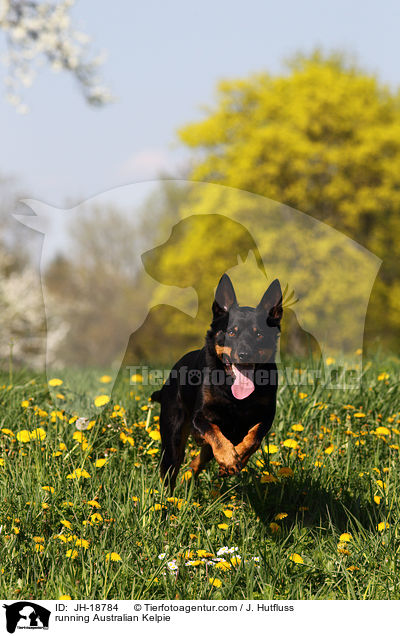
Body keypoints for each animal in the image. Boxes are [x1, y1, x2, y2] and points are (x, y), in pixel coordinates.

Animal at [152, 274, 282, 492]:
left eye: (259, 334)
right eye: (231, 332)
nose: (244, 355)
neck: (234, 394)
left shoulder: (266, 417)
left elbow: (254, 438)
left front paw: (237, 458)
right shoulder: (200, 418)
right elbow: (214, 433)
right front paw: (229, 458)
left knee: (197, 462)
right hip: (173, 437)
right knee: (171, 469)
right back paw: (168, 497)